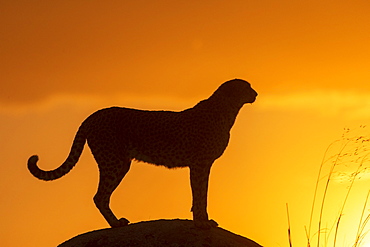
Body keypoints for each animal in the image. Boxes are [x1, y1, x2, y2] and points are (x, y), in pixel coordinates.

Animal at [28, 78, 258, 229]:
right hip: (114, 161)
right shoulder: (200, 163)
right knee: (100, 196)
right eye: (246, 87)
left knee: (101, 195)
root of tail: (94, 114)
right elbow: (200, 193)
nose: (255, 94)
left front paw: (203, 219)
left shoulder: (203, 164)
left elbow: (202, 193)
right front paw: (202, 222)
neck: (227, 109)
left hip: (119, 162)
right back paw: (116, 224)